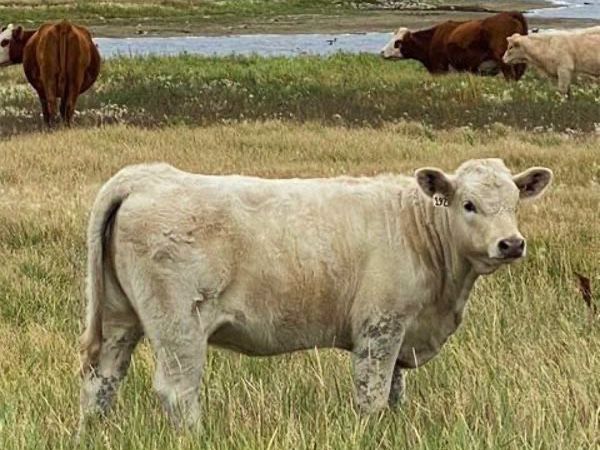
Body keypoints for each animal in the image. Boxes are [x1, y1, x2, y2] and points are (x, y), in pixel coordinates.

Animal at [78, 159, 552, 430]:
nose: (511, 243)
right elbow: (372, 394)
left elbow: (395, 393)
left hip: (120, 317)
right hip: (178, 325)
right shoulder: (381, 326)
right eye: (468, 204)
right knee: (178, 391)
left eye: (516, 202)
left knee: (102, 382)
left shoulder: (401, 332)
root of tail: (146, 176)